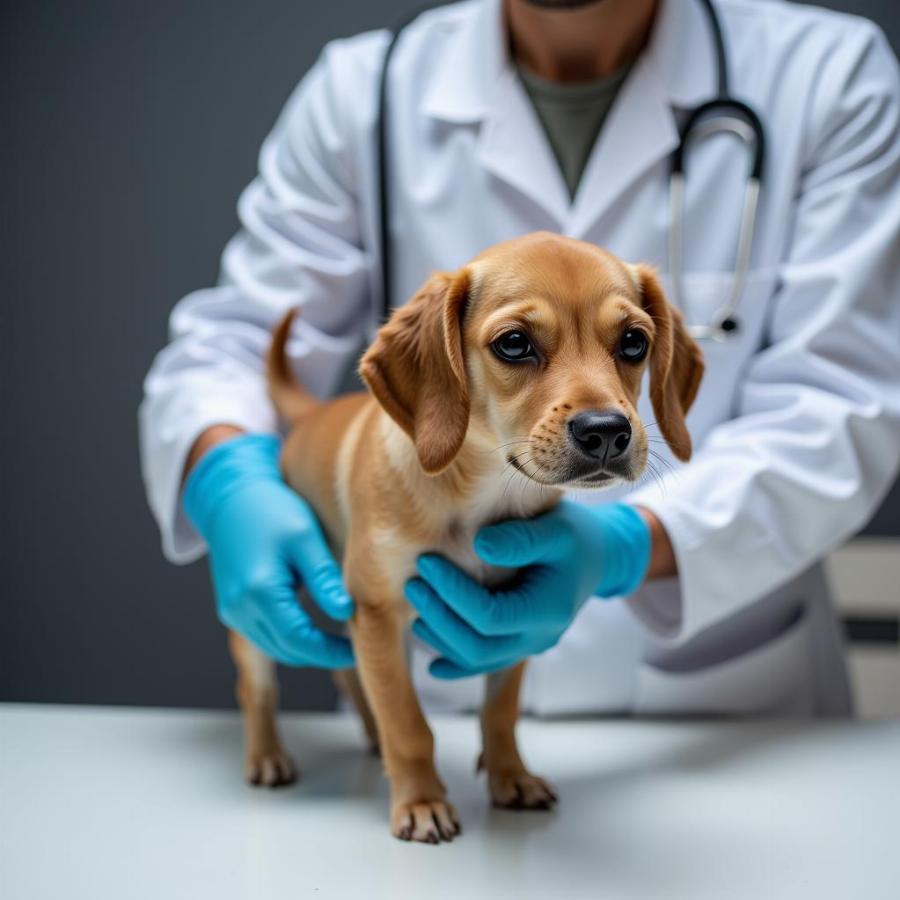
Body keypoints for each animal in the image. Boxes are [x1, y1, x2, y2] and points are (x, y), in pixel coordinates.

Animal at [225, 232, 704, 844]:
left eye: (634, 342)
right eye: (515, 344)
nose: (605, 432)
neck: (482, 495)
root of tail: (314, 414)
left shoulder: (515, 615)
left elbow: (497, 714)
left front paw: (510, 777)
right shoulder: (380, 612)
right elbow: (409, 724)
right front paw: (421, 801)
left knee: (354, 675)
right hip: (270, 614)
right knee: (259, 687)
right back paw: (267, 756)